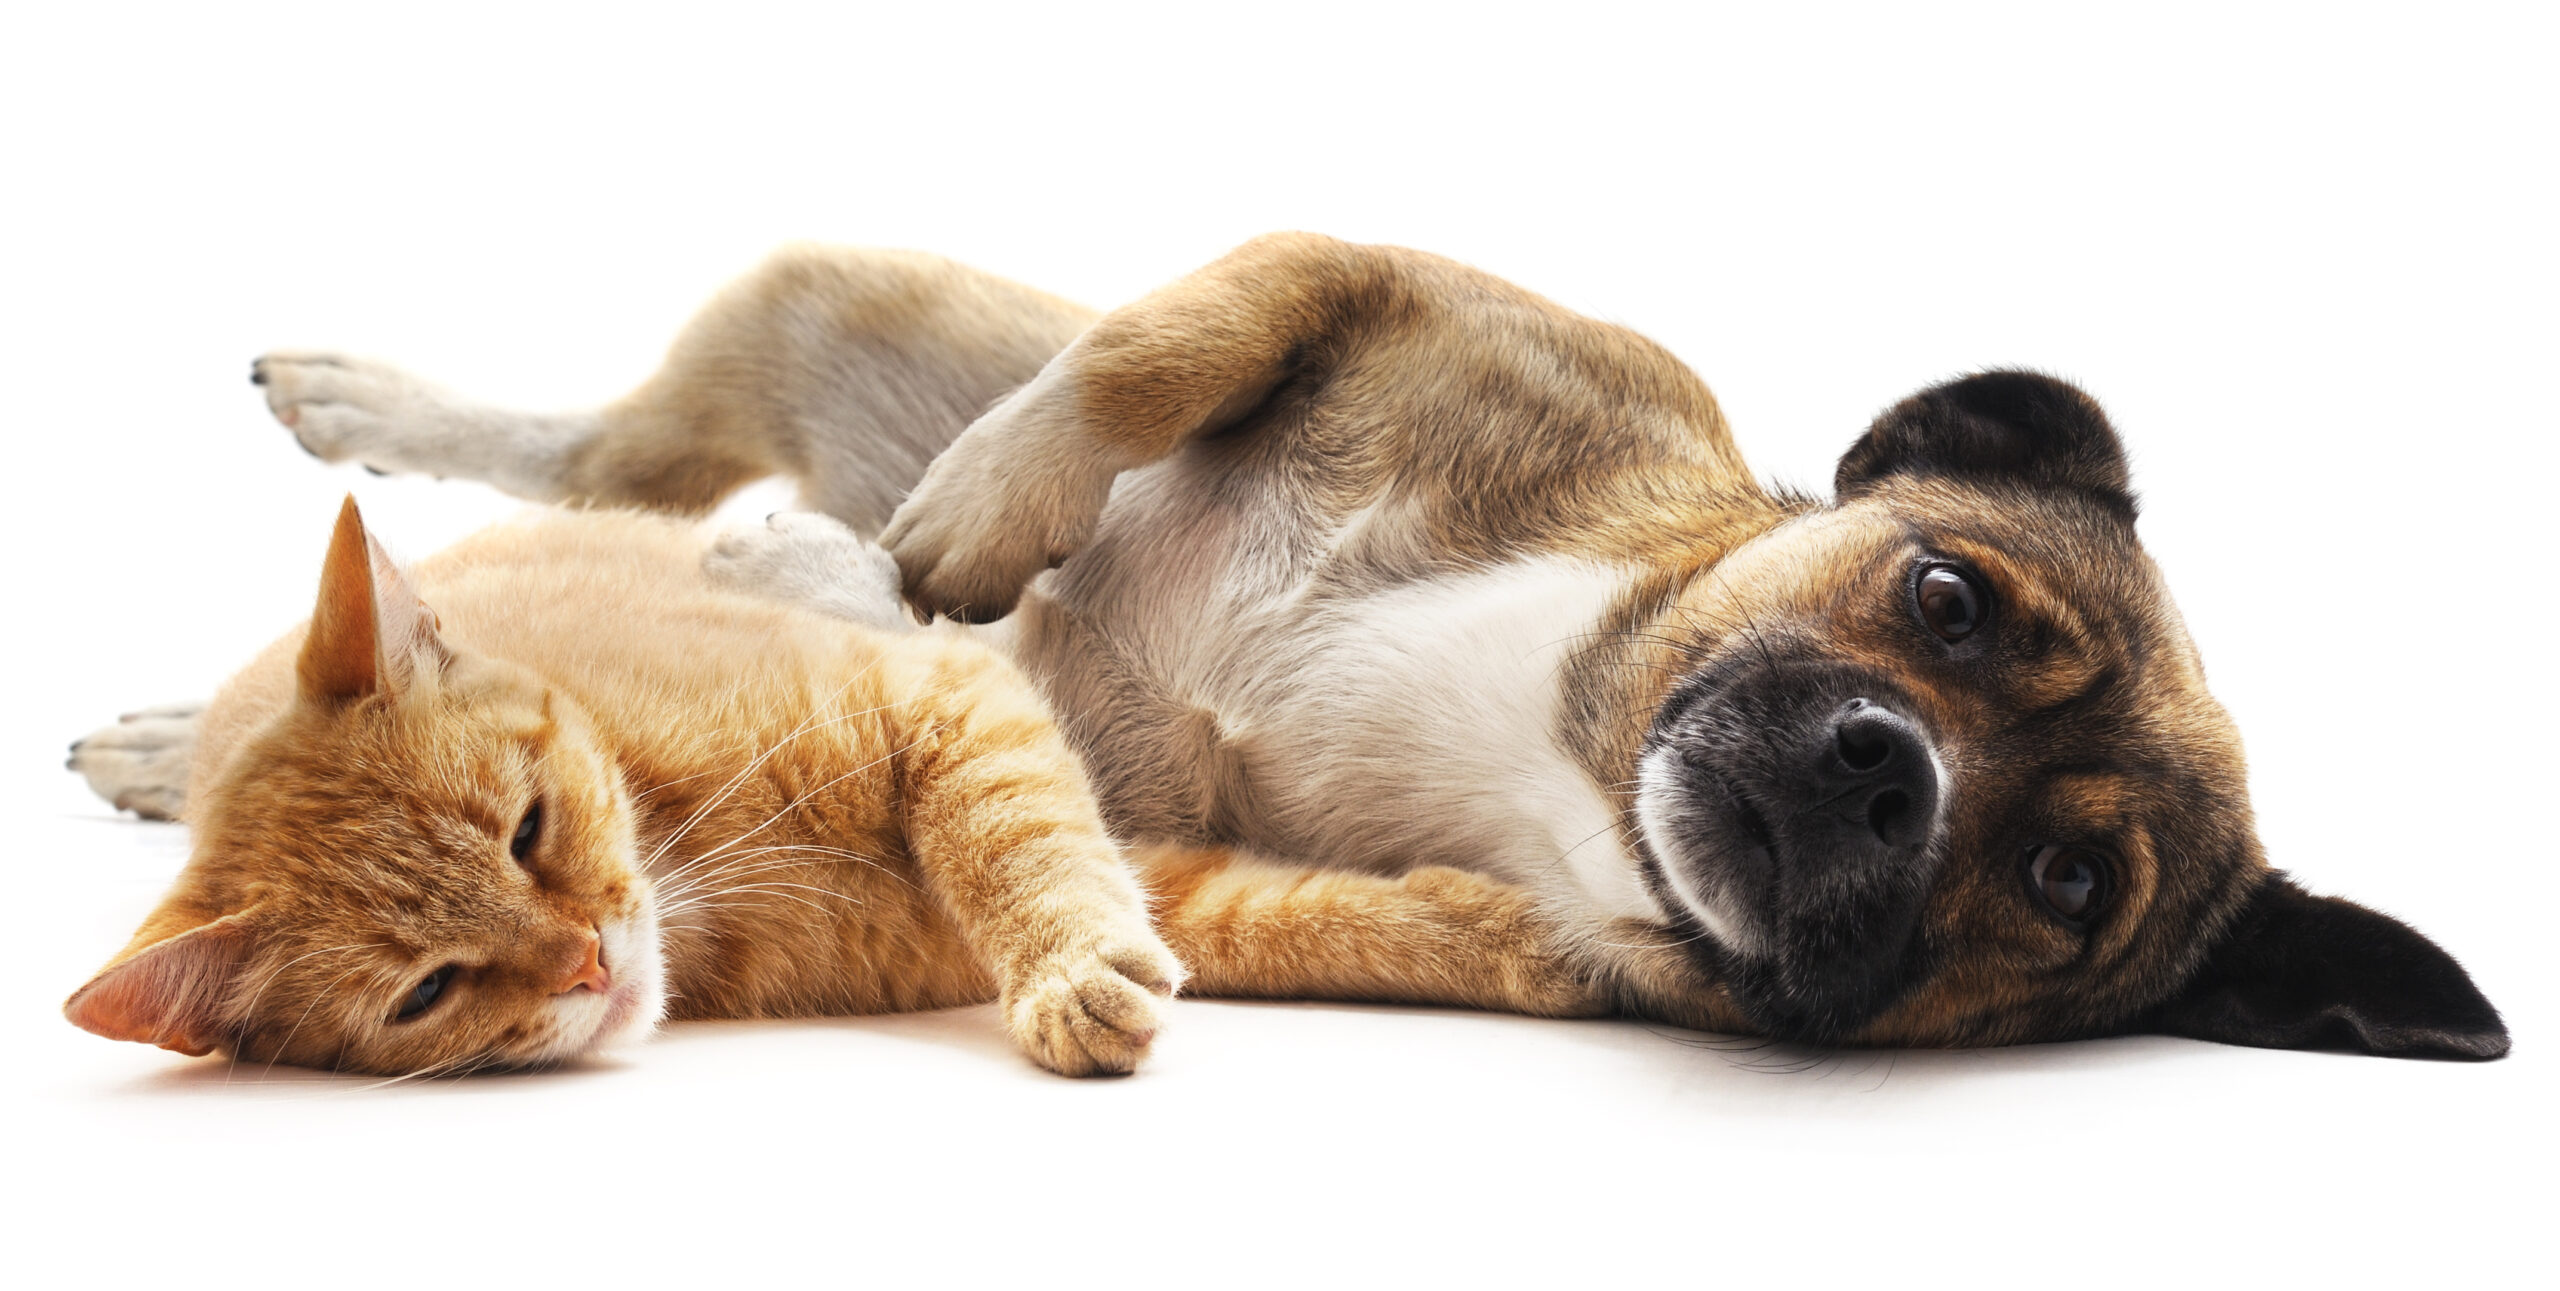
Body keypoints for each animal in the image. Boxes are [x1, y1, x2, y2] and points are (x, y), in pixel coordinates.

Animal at [60, 502, 1177, 1080]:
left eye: (527, 829)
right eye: (426, 991)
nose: (589, 962)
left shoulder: (944, 690)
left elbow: (1013, 836)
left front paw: (1068, 967)